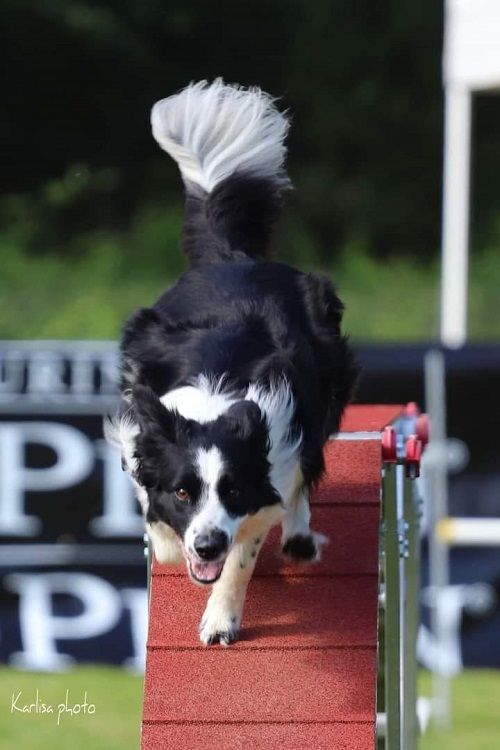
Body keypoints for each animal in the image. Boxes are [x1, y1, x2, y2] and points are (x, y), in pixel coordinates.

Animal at [106, 81, 356, 648]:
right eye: (184, 490)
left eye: (233, 489)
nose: (206, 545)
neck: (212, 399)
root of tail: (233, 258)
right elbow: (156, 520)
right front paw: (171, 543)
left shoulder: (274, 450)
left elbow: (244, 553)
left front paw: (221, 619)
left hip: (325, 387)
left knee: (307, 470)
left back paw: (300, 537)